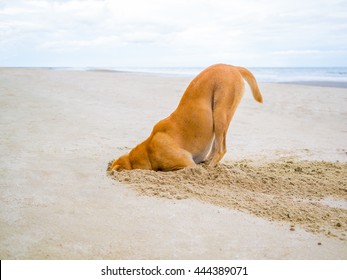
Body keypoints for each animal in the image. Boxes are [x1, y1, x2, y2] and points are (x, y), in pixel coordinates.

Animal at [110, 64, 262, 172]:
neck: (148, 149)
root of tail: (232, 67)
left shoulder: (188, 163)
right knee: (216, 147)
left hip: (220, 115)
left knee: (221, 149)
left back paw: (209, 168)